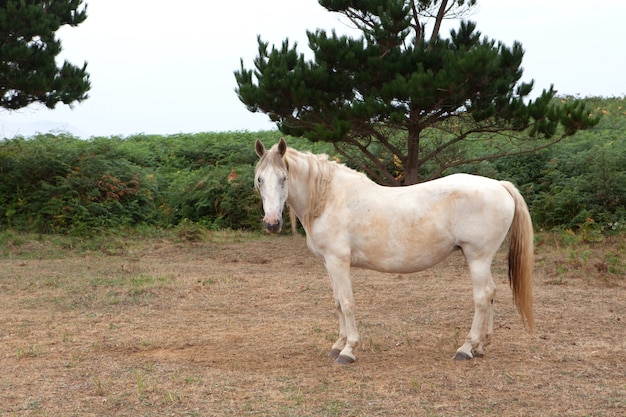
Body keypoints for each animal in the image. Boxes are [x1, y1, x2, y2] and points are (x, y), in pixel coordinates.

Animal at [254, 138, 532, 362]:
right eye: (259, 180)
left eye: (284, 178)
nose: (272, 223)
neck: (329, 198)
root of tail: (499, 185)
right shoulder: (328, 264)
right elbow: (337, 303)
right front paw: (338, 345)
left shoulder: (338, 261)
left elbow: (347, 302)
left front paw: (348, 350)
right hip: (482, 259)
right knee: (491, 293)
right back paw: (481, 346)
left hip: (477, 257)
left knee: (482, 297)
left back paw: (466, 348)